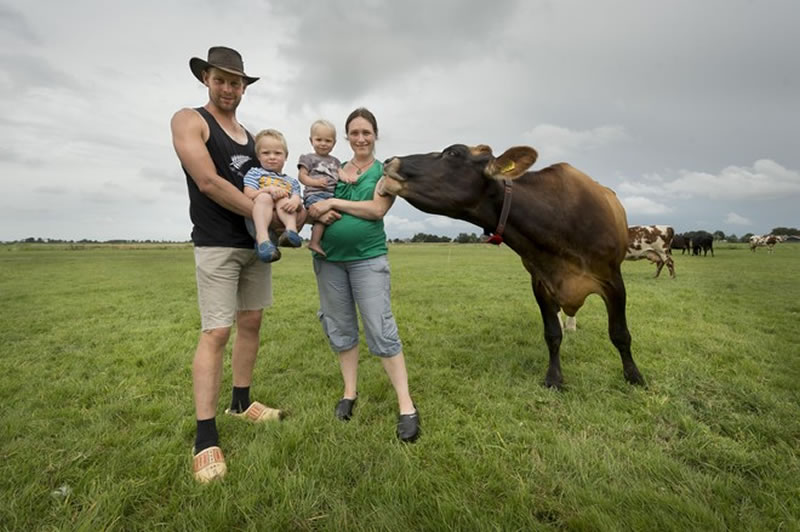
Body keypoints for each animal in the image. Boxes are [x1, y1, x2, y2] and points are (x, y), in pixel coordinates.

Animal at [378, 143, 648, 388]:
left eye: (453, 153)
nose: (390, 161)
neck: (558, 219)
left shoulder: (613, 280)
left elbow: (620, 334)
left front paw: (634, 376)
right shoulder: (540, 283)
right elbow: (552, 334)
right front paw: (554, 378)